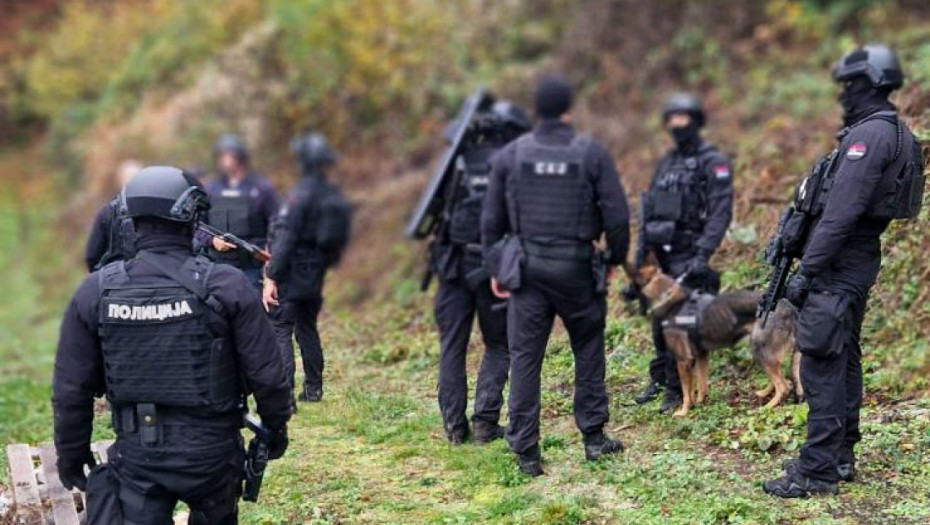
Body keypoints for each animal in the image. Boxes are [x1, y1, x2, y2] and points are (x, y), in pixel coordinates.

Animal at [628, 256, 800, 416]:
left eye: (633, 280)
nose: (623, 293)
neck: (672, 300)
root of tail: (792, 308)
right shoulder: (701, 355)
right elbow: (701, 384)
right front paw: (700, 402)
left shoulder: (683, 360)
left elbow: (686, 392)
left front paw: (684, 412)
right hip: (766, 353)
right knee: (779, 379)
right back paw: (765, 393)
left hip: (760, 350)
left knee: (784, 386)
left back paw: (767, 407)